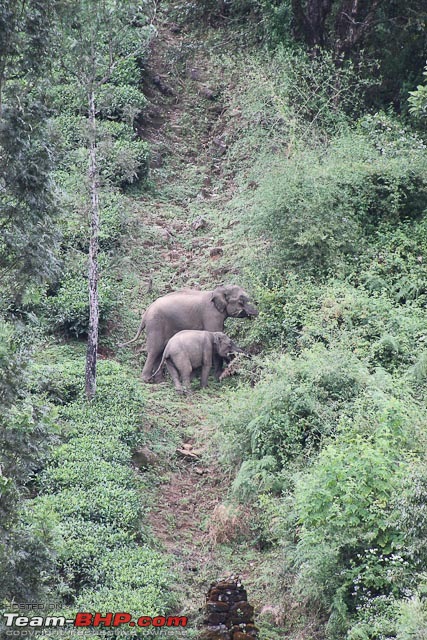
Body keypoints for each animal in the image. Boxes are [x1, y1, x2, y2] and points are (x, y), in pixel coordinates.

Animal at [122, 284, 260, 380]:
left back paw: (159, 380)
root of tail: (146, 313)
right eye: (241, 301)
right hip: (156, 324)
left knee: (160, 350)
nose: (256, 313)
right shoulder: (211, 315)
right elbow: (215, 335)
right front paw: (217, 376)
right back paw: (146, 379)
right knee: (154, 350)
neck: (218, 290)